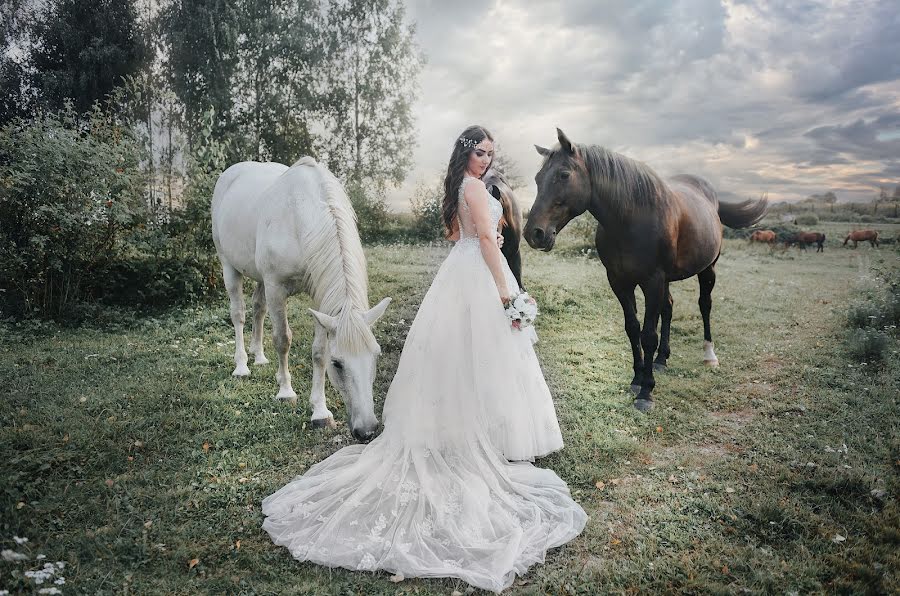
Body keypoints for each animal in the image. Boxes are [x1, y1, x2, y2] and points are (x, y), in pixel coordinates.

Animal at [214, 156, 394, 440]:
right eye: (338, 364)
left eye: (376, 354)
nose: (366, 431)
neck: (299, 219)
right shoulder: (276, 288)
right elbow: (283, 340)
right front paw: (285, 392)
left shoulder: (320, 300)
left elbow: (318, 351)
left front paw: (320, 412)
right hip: (229, 266)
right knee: (239, 315)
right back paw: (242, 366)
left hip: (259, 277)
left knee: (258, 308)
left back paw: (259, 356)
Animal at [524, 129, 768, 410]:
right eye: (537, 178)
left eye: (564, 174)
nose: (534, 233)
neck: (631, 219)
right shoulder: (619, 281)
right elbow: (633, 328)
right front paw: (637, 378)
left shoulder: (652, 281)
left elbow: (648, 334)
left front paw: (646, 392)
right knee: (669, 307)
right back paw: (661, 360)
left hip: (707, 269)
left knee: (704, 305)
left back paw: (709, 355)